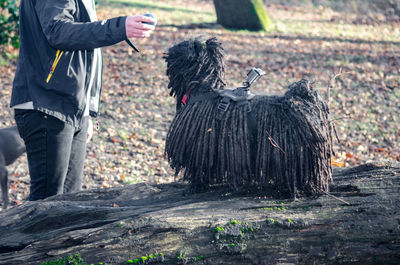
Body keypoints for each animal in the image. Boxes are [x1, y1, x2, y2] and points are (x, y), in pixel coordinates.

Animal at [162, 37, 334, 198]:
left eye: (182, 45)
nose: (169, 50)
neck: (203, 88)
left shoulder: (200, 146)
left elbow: (198, 169)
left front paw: (194, 186)